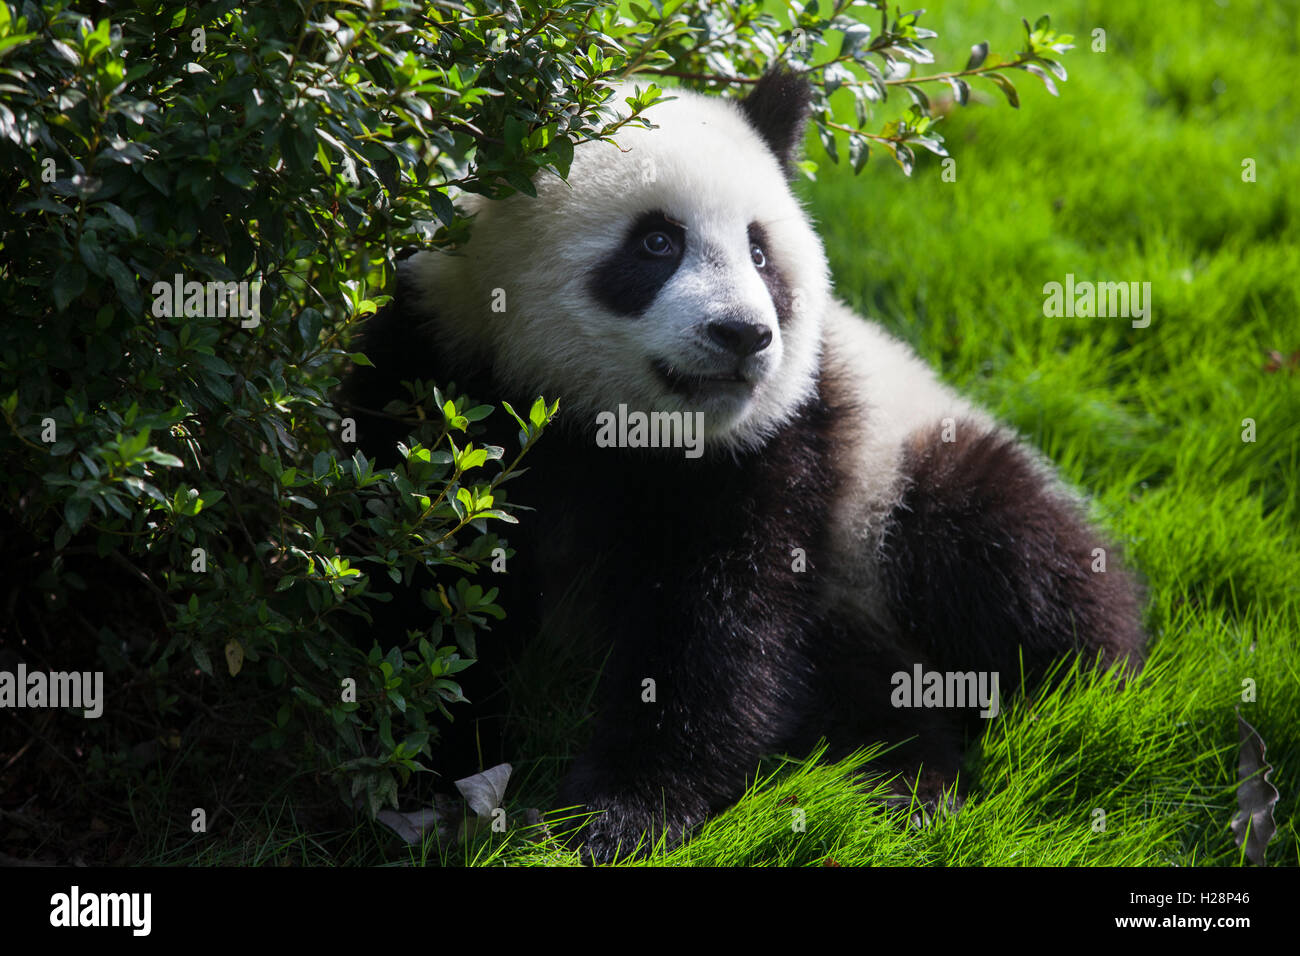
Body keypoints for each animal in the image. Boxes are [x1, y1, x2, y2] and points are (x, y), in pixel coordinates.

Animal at [348, 74, 1149, 863]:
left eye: (760, 253)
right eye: (658, 242)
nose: (743, 335)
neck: (612, 426)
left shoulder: (779, 444)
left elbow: (722, 626)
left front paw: (618, 816)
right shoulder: (435, 376)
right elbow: (422, 590)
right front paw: (435, 768)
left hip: (897, 480)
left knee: (1009, 561)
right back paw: (900, 785)